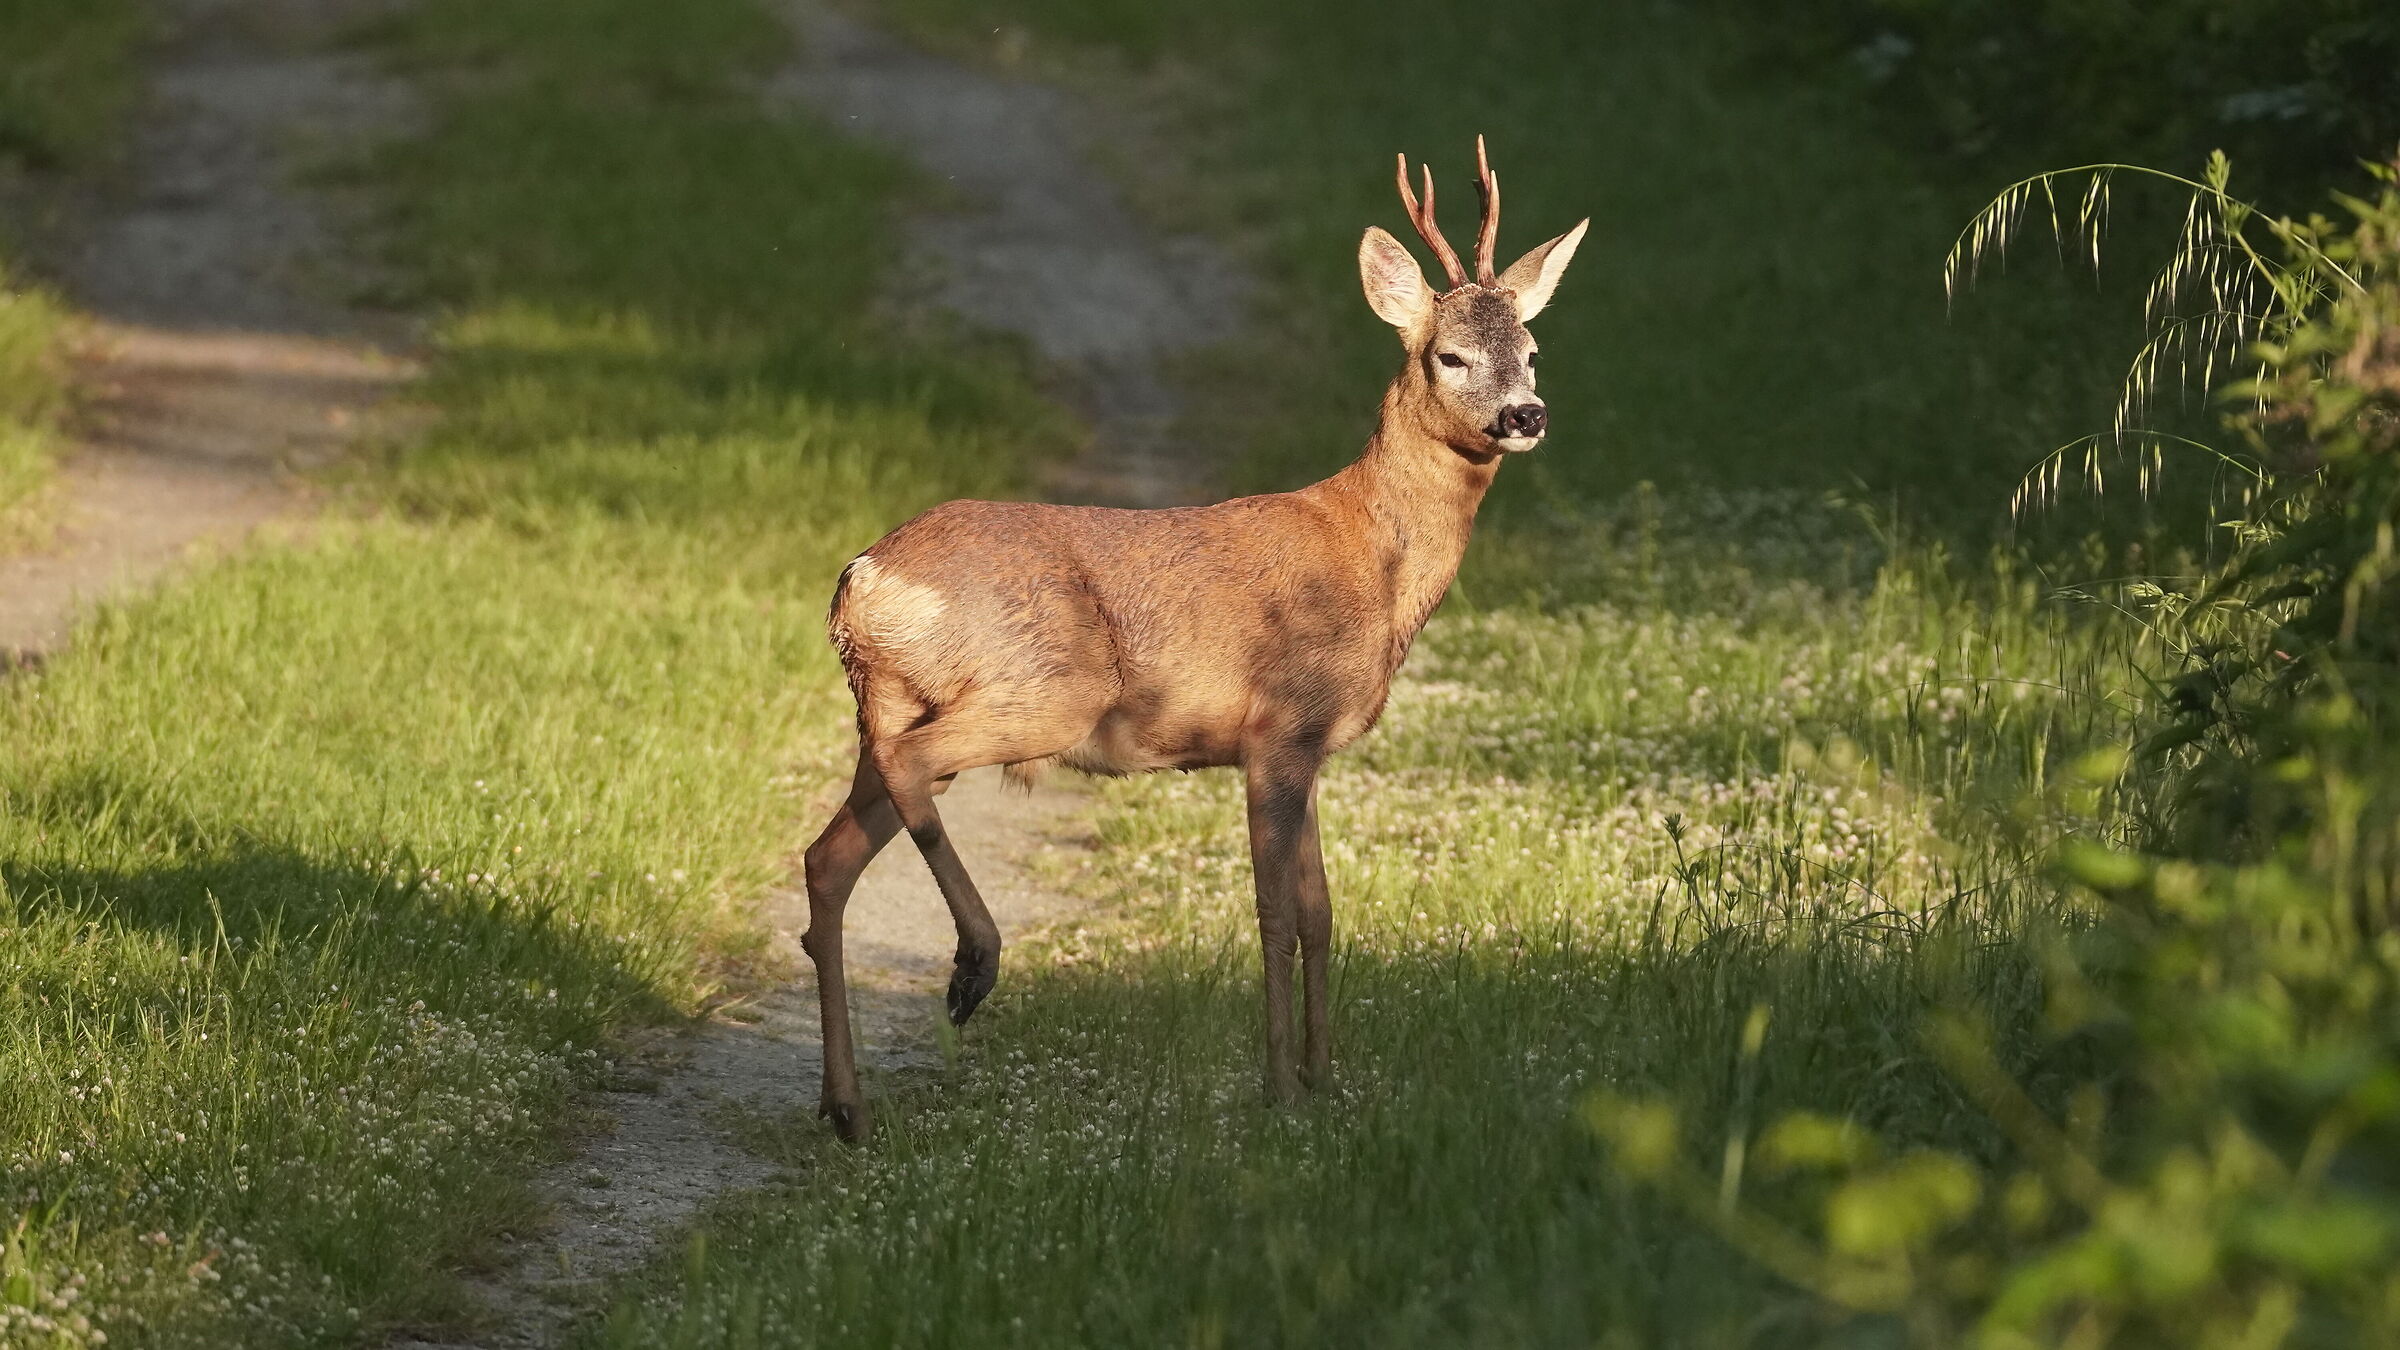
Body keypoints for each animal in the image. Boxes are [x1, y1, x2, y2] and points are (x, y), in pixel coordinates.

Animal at [800, 137, 1586, 1141]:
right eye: (1449, 354)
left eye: (1531, 349)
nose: (1526, 414)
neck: (1375, 561)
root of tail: (863, 578)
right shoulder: (1277, 729)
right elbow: (1273, 913)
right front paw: (1281, 1087)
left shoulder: (1310, 745)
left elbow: (1322, 911)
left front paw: (1327, 1077)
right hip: (1047, 690)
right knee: (903, 780)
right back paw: (974, 967)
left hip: (894, 704)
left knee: (828, 859)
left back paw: (848, 1106)